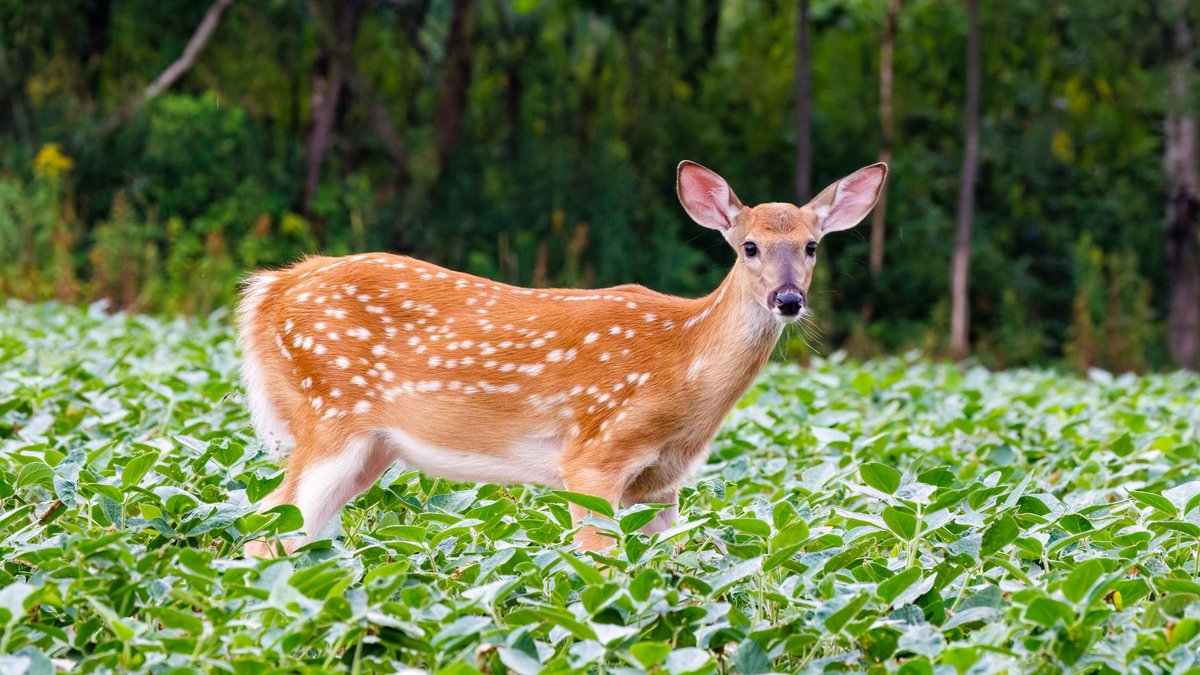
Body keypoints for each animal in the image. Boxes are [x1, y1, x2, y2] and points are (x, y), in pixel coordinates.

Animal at [238, 161, 887, 557]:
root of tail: (268, 291)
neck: (682, 365)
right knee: (264, 525)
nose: (788, 300)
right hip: (329, 412)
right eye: (749, 246)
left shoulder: (662, 484)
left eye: (811, 245)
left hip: (371, 447)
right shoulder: (595, 454)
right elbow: (601, 567)